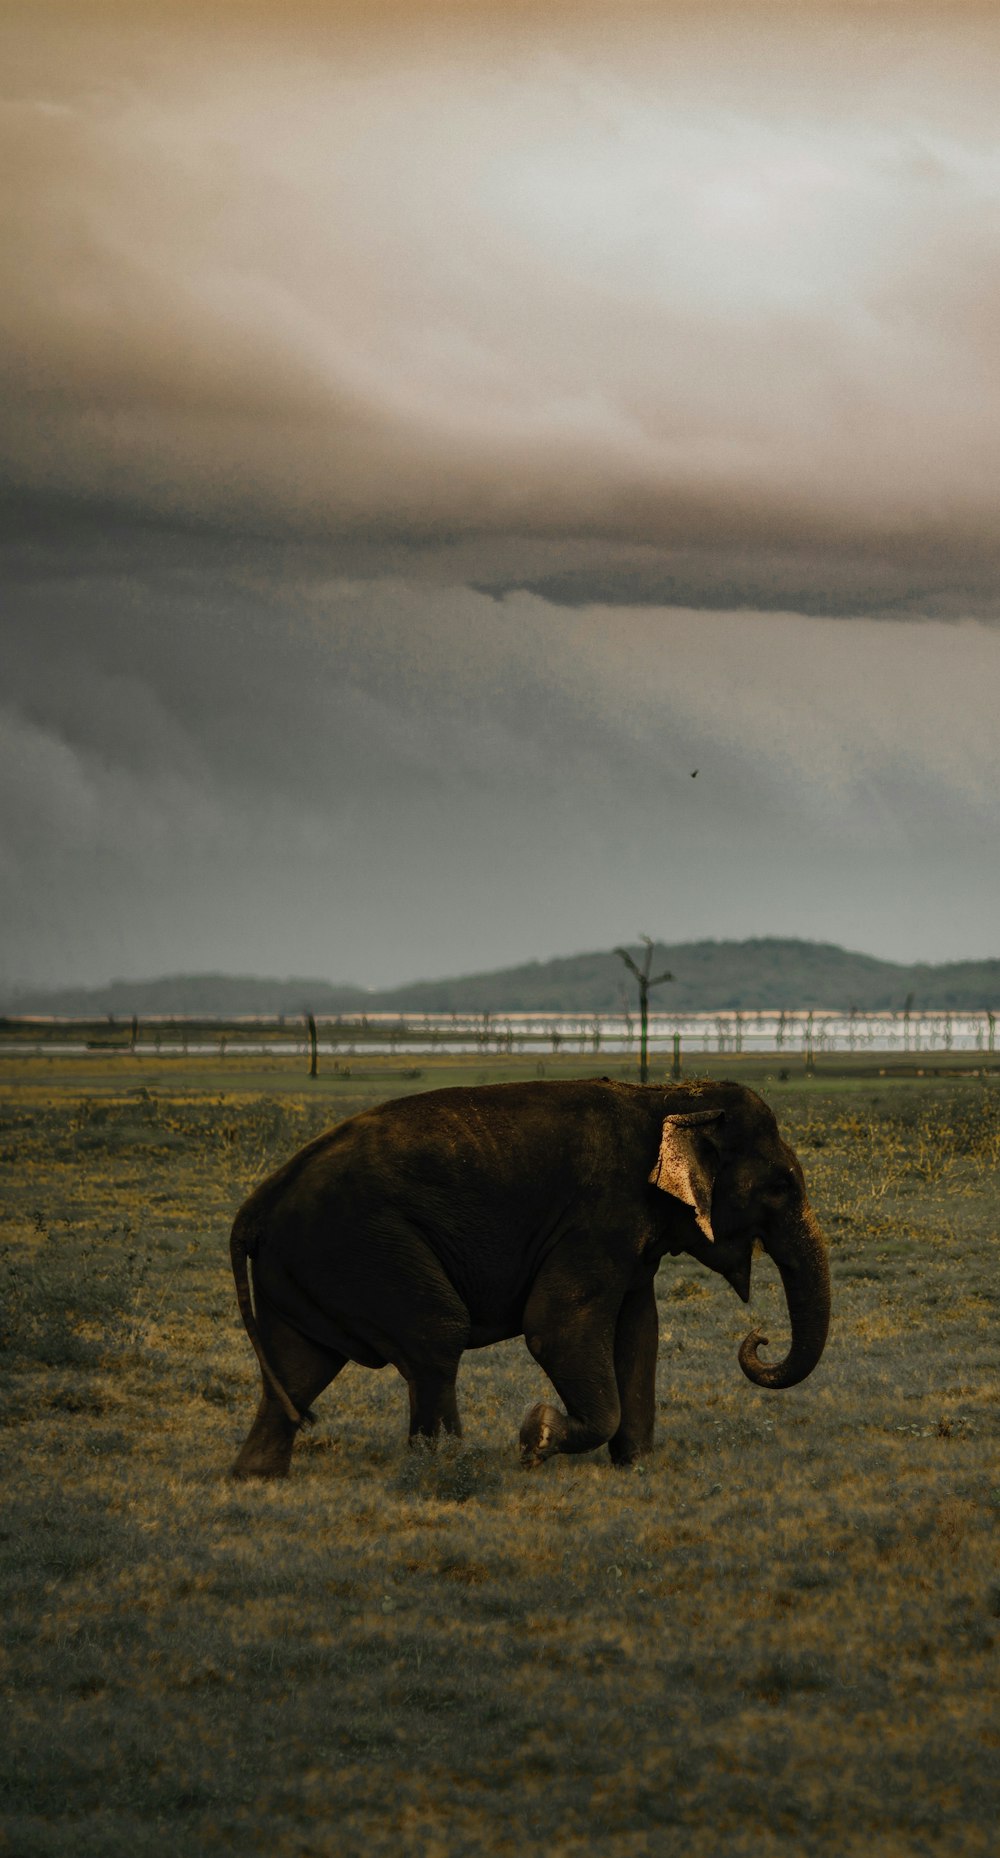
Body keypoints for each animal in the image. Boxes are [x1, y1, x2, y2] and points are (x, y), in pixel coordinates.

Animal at [229, 1077, 828, 1478]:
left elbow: (639, 1331)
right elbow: (556, 1329)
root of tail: (255, 1207)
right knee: (436, 1336)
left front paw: (634, 1466)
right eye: (780, 1187)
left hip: (310, 1267)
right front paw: (534, 1436)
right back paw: (448, 1469)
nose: (759, 1336)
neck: (664, 1096)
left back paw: (258, 1476)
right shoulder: (596, 1219)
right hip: (362, 1247)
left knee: (299, 1364)